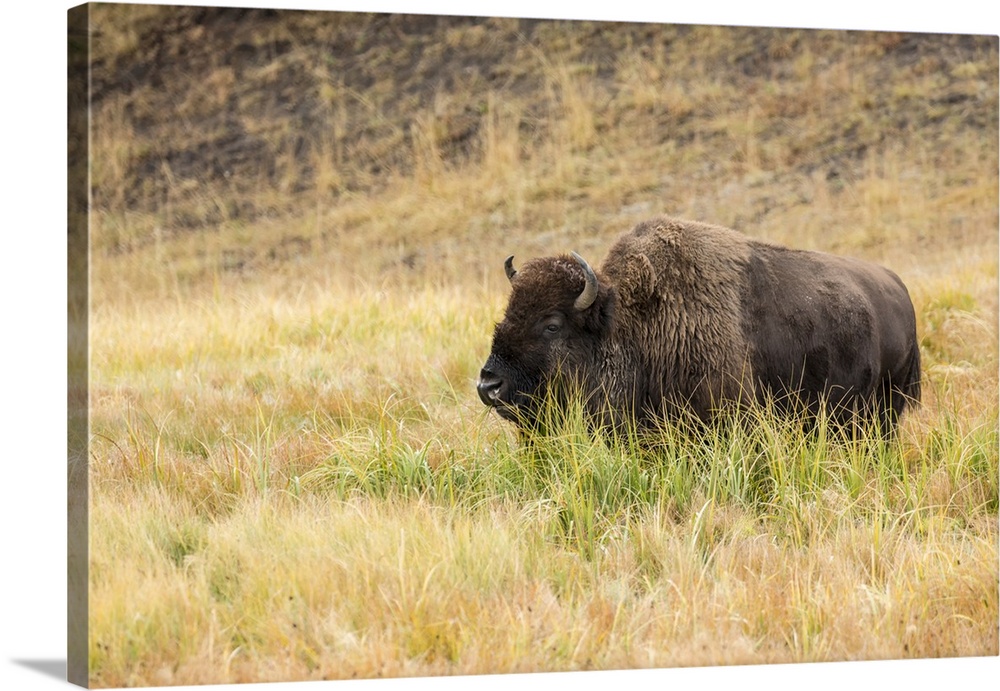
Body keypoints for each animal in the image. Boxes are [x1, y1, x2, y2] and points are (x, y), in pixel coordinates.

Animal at [476, 215, 920, 438]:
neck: (631, 324)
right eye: (508, 312)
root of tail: (897, 287)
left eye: (552, 325)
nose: (488, 385)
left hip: (883, 409)